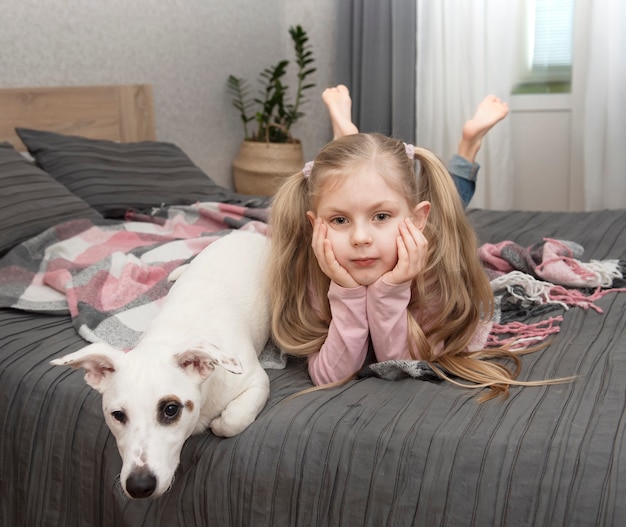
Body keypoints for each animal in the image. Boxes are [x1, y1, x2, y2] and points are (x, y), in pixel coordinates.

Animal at [50, 230, 270, 500]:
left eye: (171, 409)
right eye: (118, 415)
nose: (139, 485)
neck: (170, 336)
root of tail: (249, 233)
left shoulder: (255, 379)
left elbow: (234, 419)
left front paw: (220, 422)